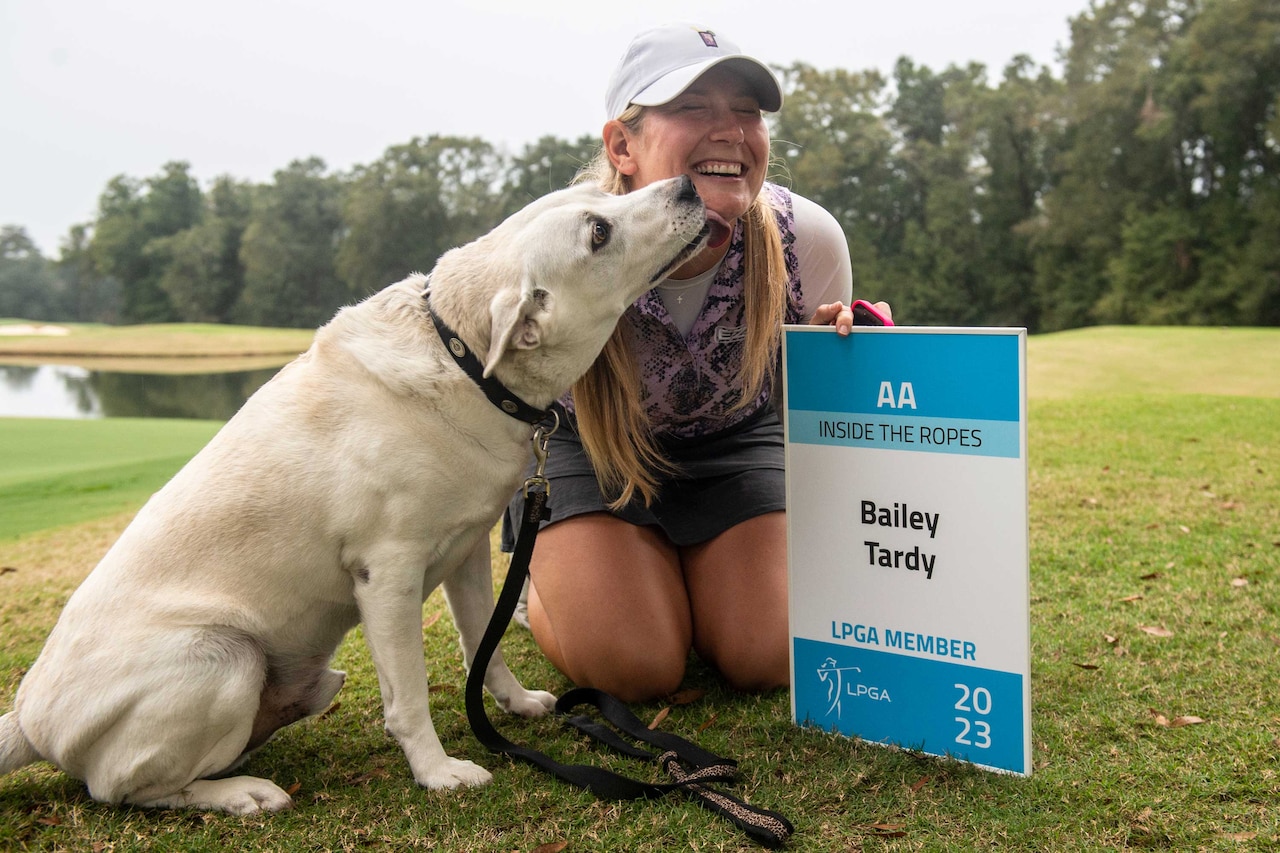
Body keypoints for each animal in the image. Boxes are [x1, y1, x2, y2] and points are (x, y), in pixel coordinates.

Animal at [0, 172, 721, 809]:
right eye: (599, 231)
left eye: (601, 195)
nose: (689, 183)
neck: (462, 359)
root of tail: (29, 716)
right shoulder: (389, 574)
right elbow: (408, 696)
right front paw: (437, 772)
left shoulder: (467, 552)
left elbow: (479, 647)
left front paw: (514, 705)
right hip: (224, 657)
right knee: (122, 787)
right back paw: (240, 794)